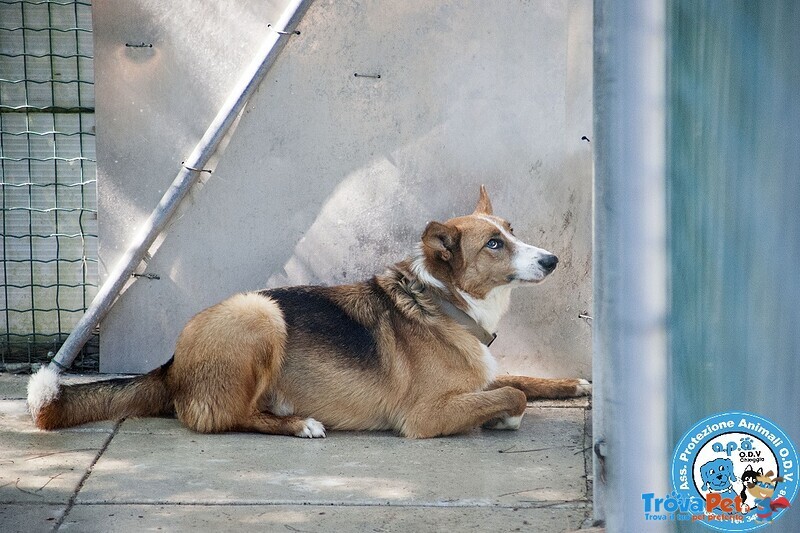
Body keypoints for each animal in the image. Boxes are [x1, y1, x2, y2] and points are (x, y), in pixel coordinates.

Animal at [28, 186, 592, 436]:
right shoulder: (425, 416)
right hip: (261, 314)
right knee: (222, 418)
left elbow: (521, 379)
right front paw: (507, 417)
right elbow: (515, 393)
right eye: (494, 245)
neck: (444, 302)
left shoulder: (481, 376)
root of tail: (170, 366)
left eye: (512, 231)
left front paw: (576, 384)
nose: (552, 260)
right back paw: (300, 424)